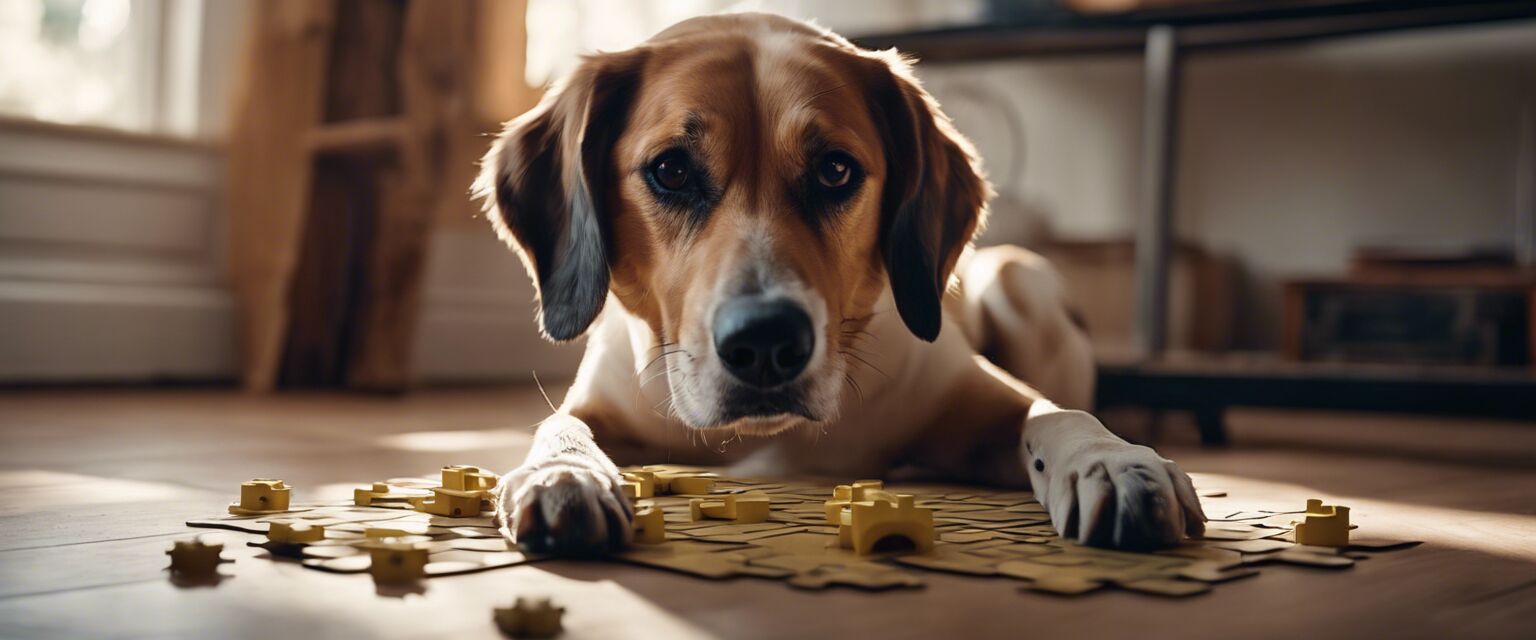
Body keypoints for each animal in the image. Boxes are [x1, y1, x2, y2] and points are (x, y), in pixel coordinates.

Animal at [473, 13, 1204, 552]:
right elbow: (558, 425)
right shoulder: (600, 403)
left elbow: (1058, 414)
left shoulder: (980, 400)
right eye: (672, 170)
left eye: (835, 170)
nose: (766, 343)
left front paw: (1113, 462)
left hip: (1019, 281)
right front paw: (563, 473)